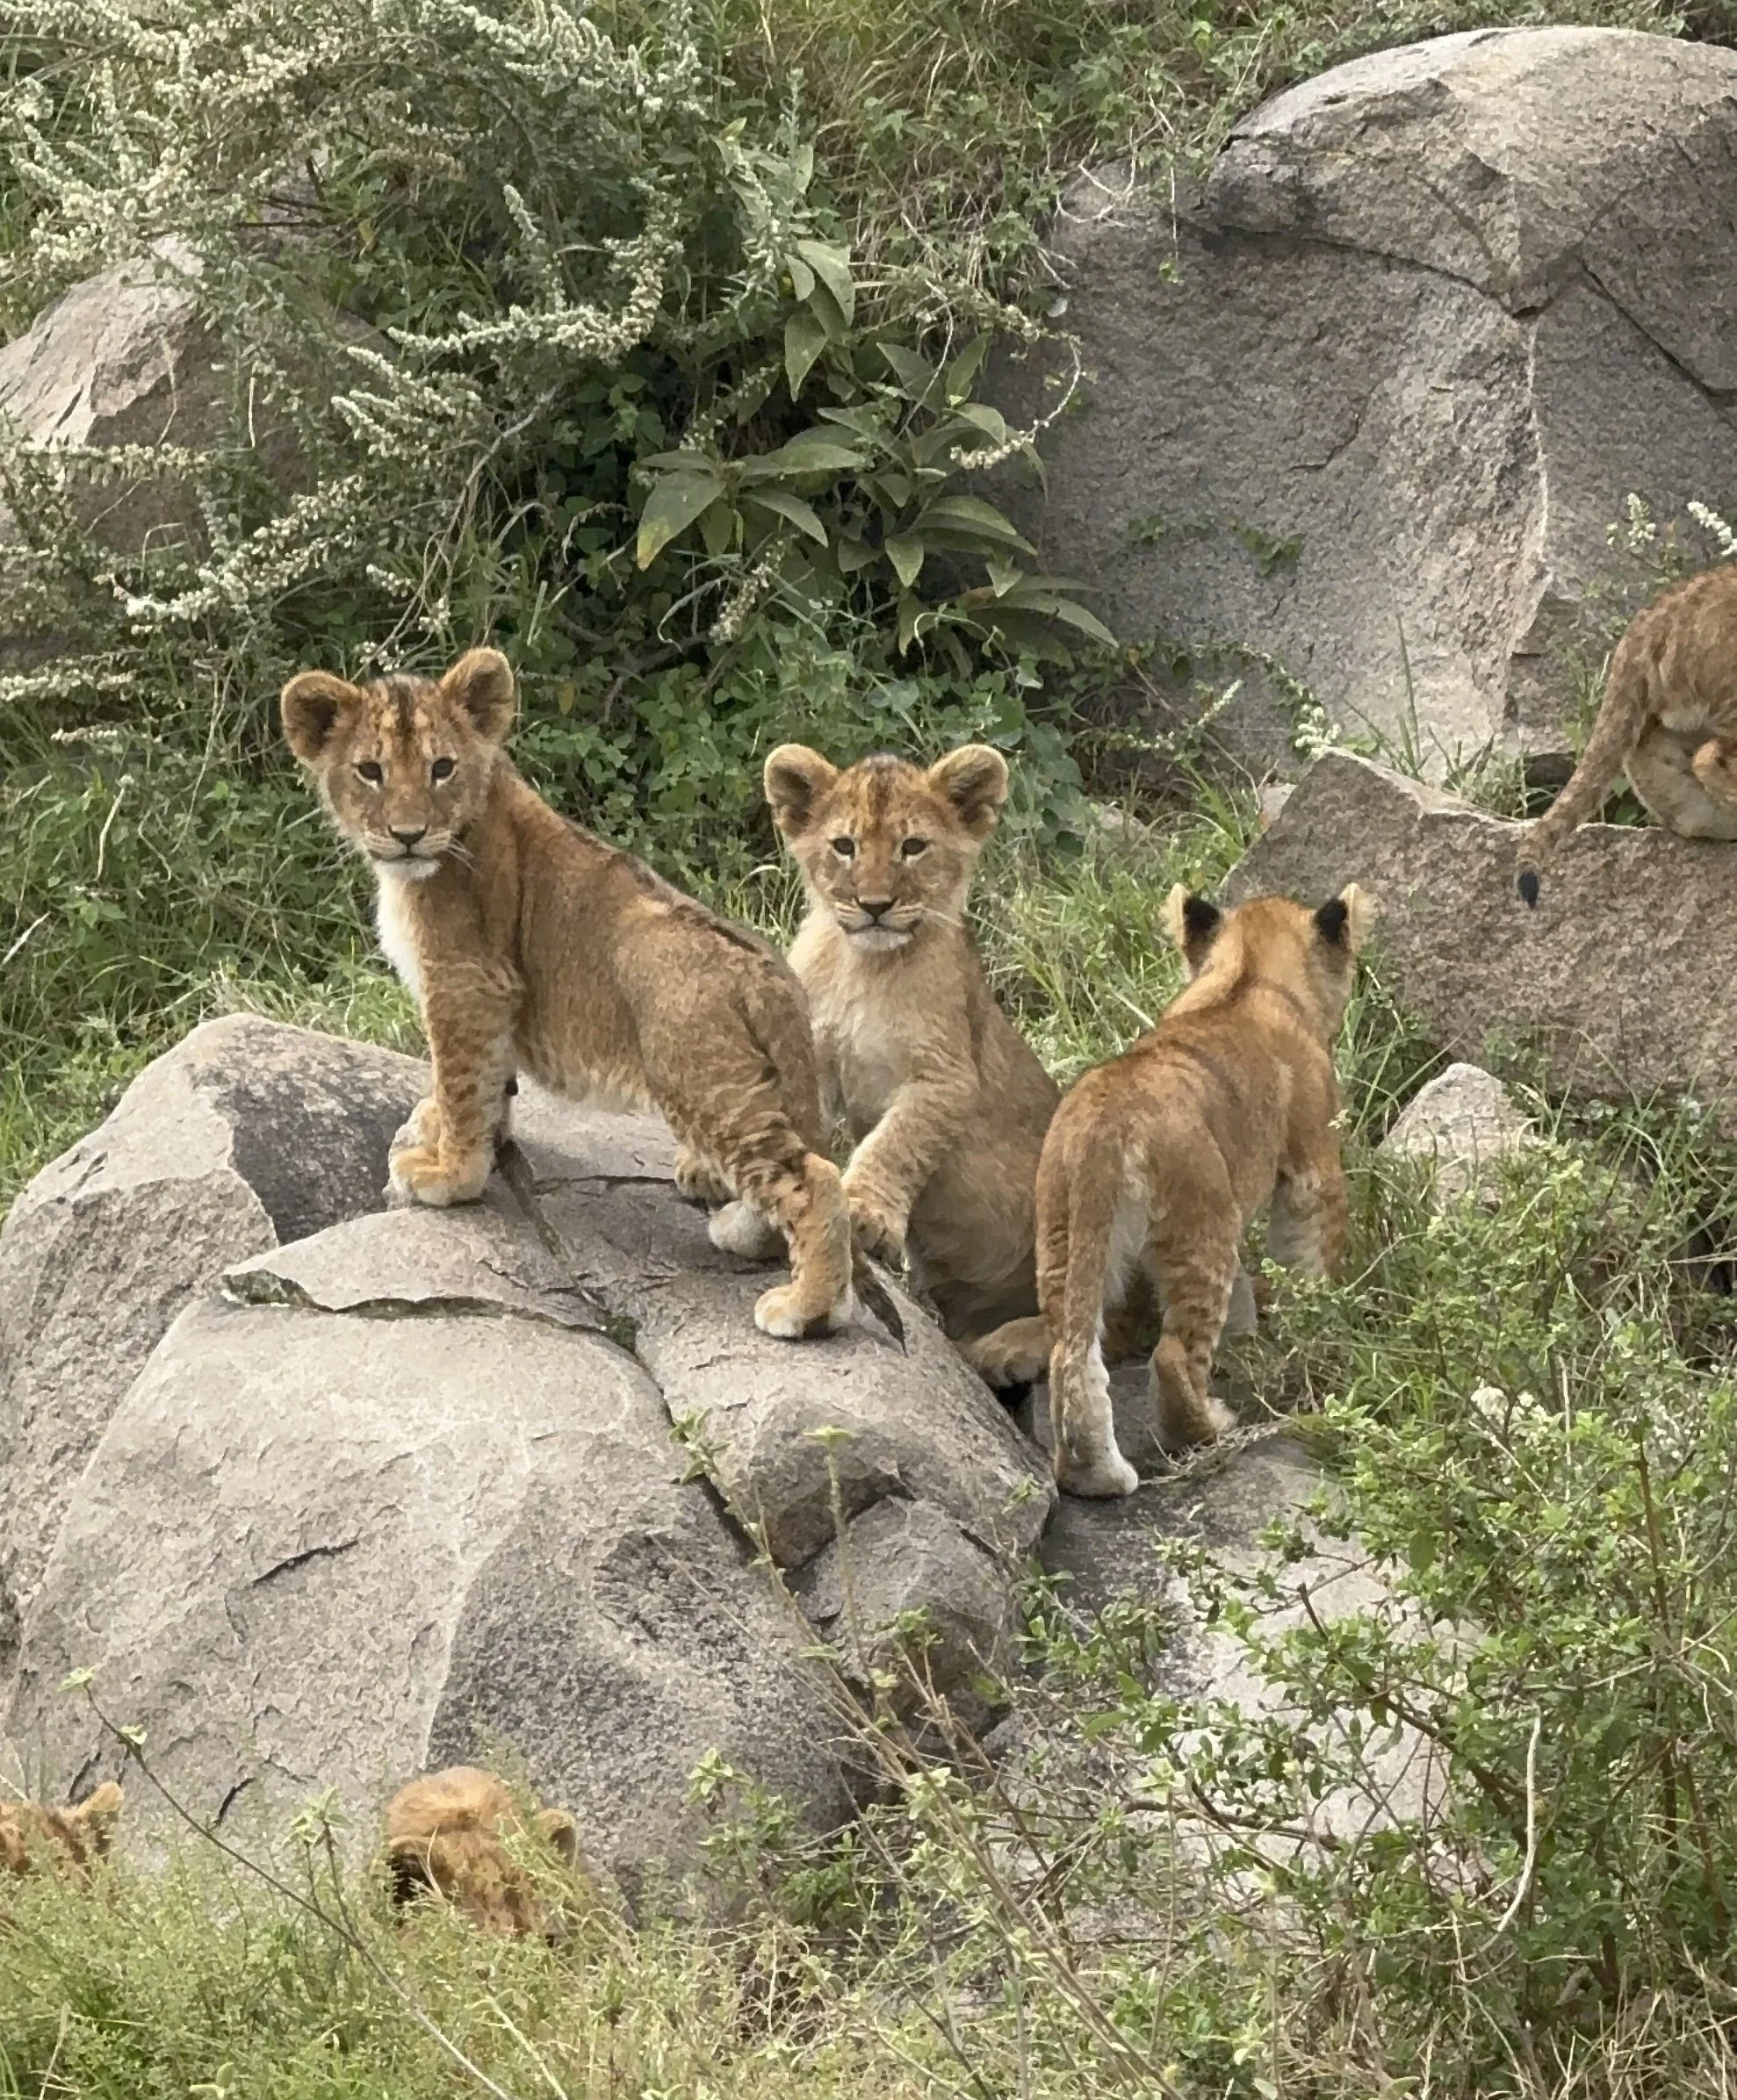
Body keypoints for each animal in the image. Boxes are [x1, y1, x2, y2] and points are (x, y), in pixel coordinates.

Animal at [281, 648, 898, 1344]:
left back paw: (804, 1309)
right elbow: (487, 1086)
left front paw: (449, 1177)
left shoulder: (467, 982)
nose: (408, 834)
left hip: (706, 1088)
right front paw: (458, 1136)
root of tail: (769, 976)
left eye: (442, 768)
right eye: (370, 771)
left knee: (815, 1180)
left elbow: (460, 1082)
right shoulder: (492, 997)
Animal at [762, 742, 1062, 1349]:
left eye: (914, 847)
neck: (866, 965)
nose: (875, 905)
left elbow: (898, 1142)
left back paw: (1011, 1349)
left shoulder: (945, 1077)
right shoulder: (813, 1051)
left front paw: (865, 1211)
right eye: (845, 846)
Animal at [1020, 882, 1374, 1498]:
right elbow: (1311, 1257)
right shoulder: (1313, 1168)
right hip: (1202, 1224)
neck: (1249, 972)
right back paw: (1209, 1426)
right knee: (1173, 1355)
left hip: (1066, 1234)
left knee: (1070, 1351)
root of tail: (1102, 1126)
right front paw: (1323, 1320)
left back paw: (1093, 1476)